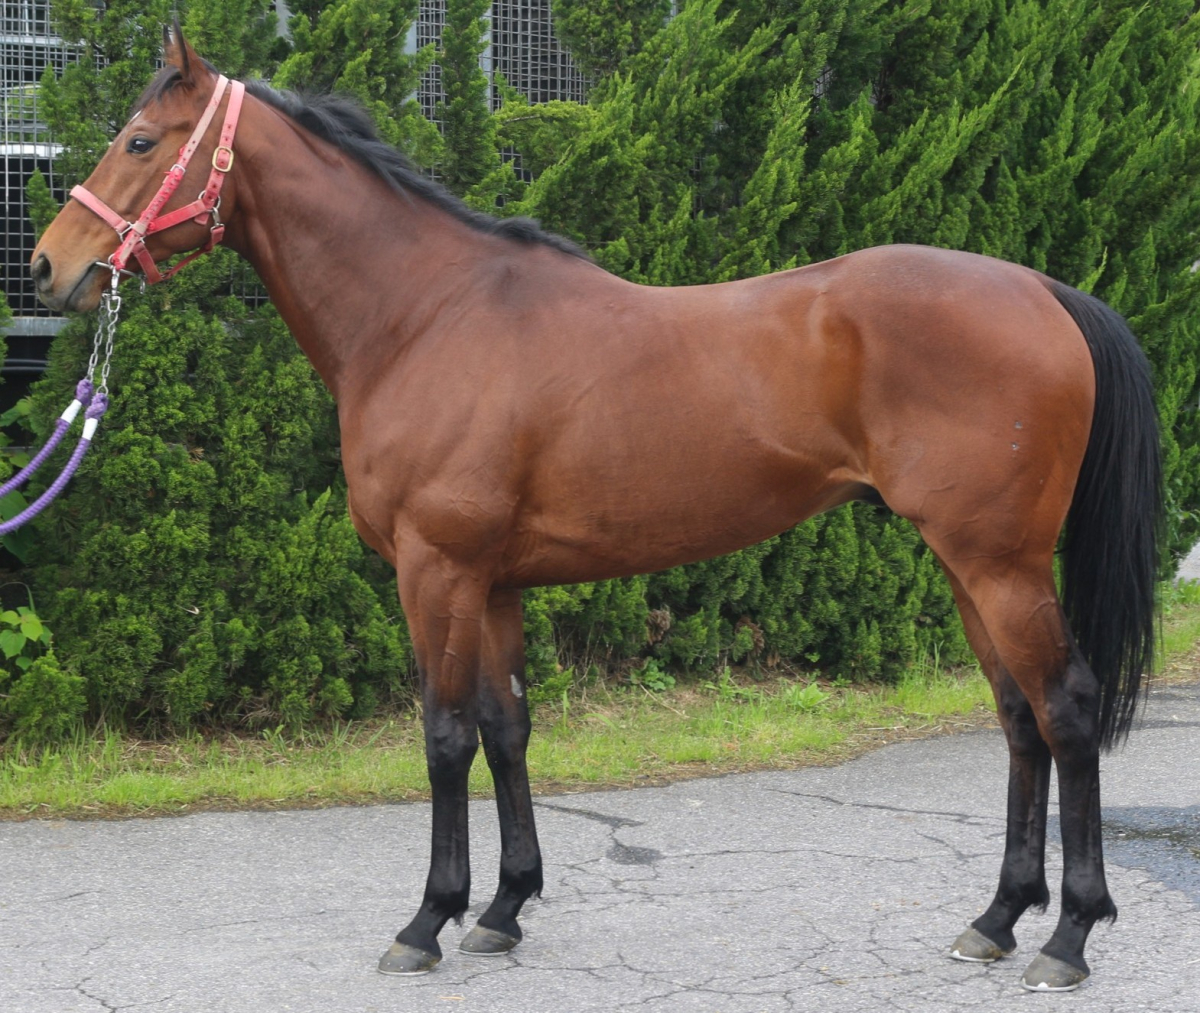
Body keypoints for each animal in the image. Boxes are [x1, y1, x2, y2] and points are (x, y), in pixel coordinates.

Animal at [30, 29, 1161, 992]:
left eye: (140, 140)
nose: (48, 264)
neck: (426, 315)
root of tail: (1044, 291)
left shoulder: (435, 568)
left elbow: (444, 734)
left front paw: (426, 920)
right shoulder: (493, 581)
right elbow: (506, 726)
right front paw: (503, 908)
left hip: (999, 562)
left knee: (1063, 708)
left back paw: (1066, 934)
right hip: (968, 563)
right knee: (1017, 717)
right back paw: (997, 916)